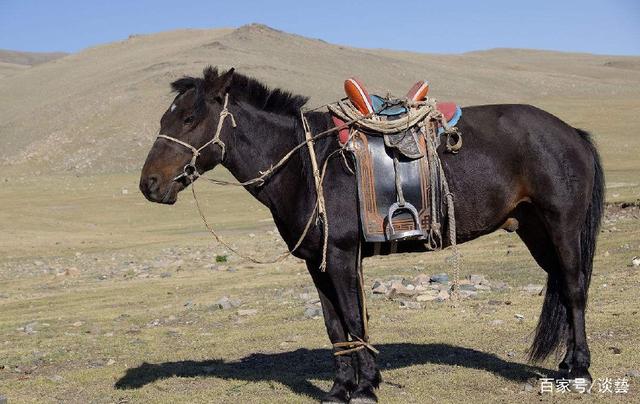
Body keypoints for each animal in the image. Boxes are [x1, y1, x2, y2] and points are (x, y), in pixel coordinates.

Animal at [140, 68, 604, 402]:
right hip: (534, 231)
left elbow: (351, 317)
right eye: (164, 118)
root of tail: (572, 133)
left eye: (189, 118)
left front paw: (364, 387)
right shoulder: (318, 262)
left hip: (562, 226)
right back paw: (565, 364)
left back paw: (580, 370)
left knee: (574, 287)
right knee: (562, 285)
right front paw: (340, 388)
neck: (305, 165)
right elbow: (334, 325)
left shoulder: (343, 255)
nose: (149, 185)